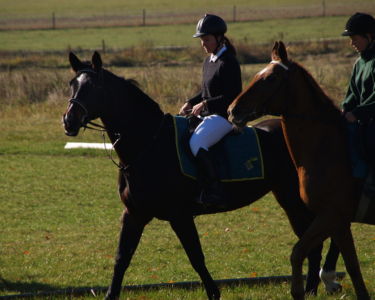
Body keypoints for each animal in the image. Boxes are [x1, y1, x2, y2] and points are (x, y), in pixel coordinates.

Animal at [64, 51, 340, 300]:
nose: (68, 121)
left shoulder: (180, 215)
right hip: (288, 198)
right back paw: (312, 289)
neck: (150, 145)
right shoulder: (134, 213)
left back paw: (313, 289)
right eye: (72, 85)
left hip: (294, 199)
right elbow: (122, 257)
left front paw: (214, 293)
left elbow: (195, 256)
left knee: (314, 240)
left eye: (93, 87)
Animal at [229, 40, 374, 300]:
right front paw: (301, 290)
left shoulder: (331, 215)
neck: (327, 147)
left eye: (270, 78)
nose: (233, 110)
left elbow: (330, 259)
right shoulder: (335, 220)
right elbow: (310, 254)